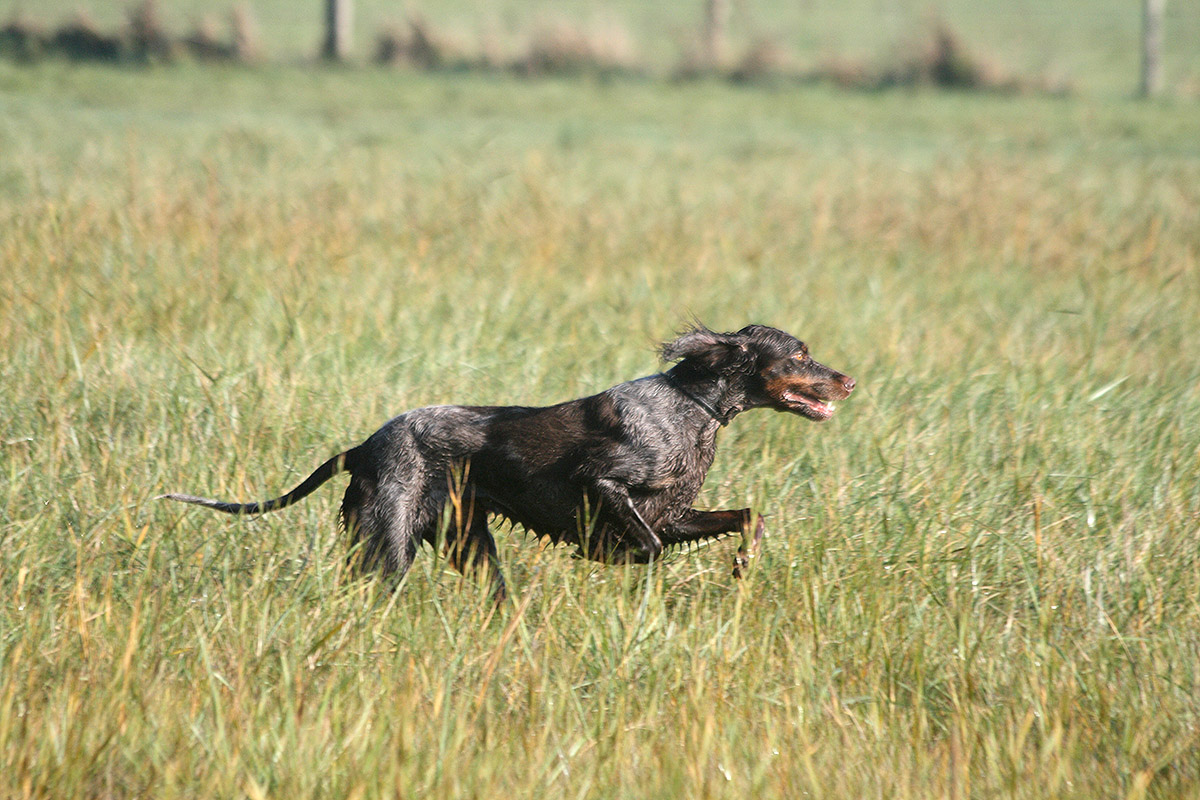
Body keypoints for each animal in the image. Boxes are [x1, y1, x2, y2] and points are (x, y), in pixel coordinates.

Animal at [162, 326, 854, 599]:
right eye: (798, 353)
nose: (848, 380)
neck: (692, 406)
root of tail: (363, 444)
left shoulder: (673, 512)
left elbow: (748, 517)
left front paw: (741, 566)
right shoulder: (603, 485)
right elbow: (647, 547)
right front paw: (616, 558)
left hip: (468, 542)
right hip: (388, 543)